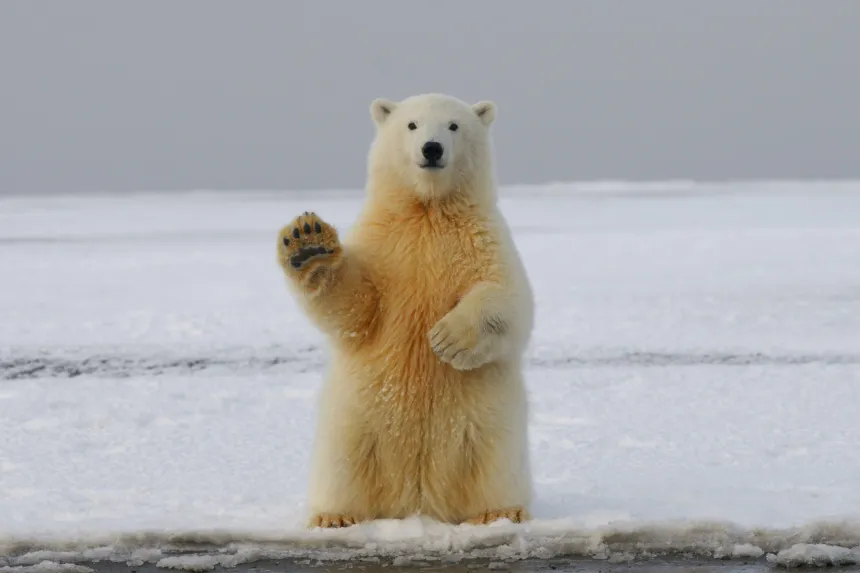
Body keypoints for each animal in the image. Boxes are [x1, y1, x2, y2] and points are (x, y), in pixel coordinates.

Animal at [275, 93, 535, 529]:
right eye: (412, 125)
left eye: (453, 126)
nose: (432, 149)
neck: (427, 211)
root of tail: (418, 502)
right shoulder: (383, 245)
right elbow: (356, 308)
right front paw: (308, 243)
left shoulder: (484, 239)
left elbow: (508, 299)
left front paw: (447, 339)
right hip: (354, 423)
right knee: (343, 466)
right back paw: (334, 516)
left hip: (489, 426)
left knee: (494, 464)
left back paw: (500, 511)